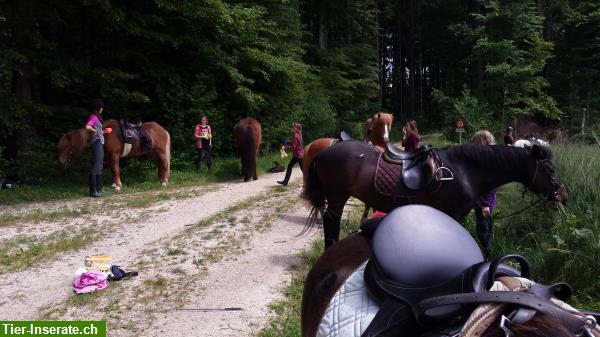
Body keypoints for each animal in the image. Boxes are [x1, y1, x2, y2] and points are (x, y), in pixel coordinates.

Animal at [304, 140, 568, 248]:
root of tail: (324, 152)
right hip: (337, 197)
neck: (465, 170)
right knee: (330, 222)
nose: (562, 196)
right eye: (550, 169)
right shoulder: (453, 215)